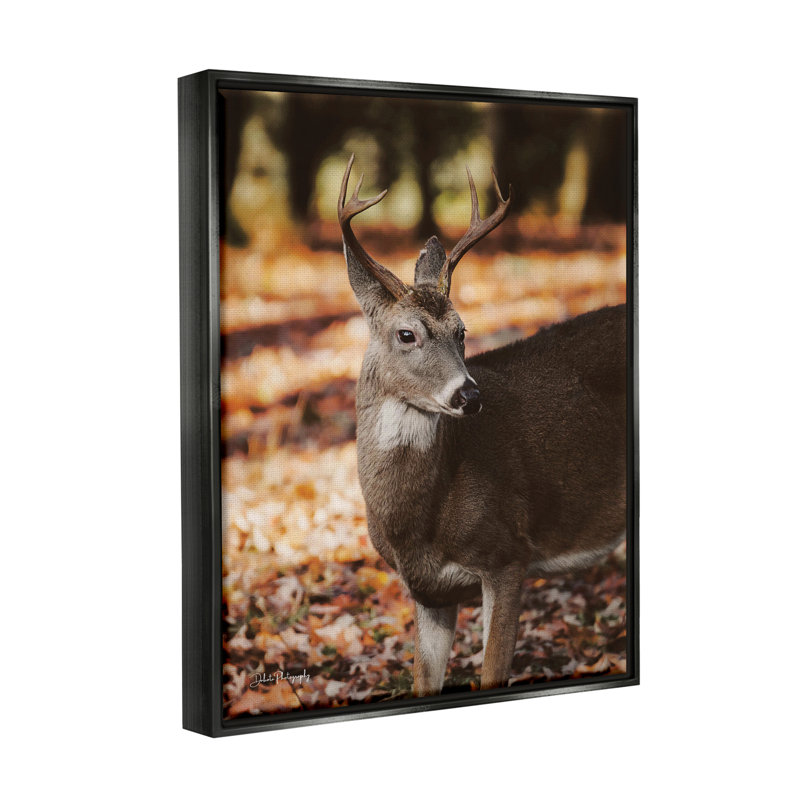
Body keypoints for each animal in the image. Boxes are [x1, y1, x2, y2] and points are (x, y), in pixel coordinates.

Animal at [338, 154, 627, 696]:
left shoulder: (508, 555)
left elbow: (493, 673)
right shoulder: (428, 593)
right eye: (406, 333)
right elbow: (424, 682)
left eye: (462, 331)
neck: (417, 525)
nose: (469, 395)